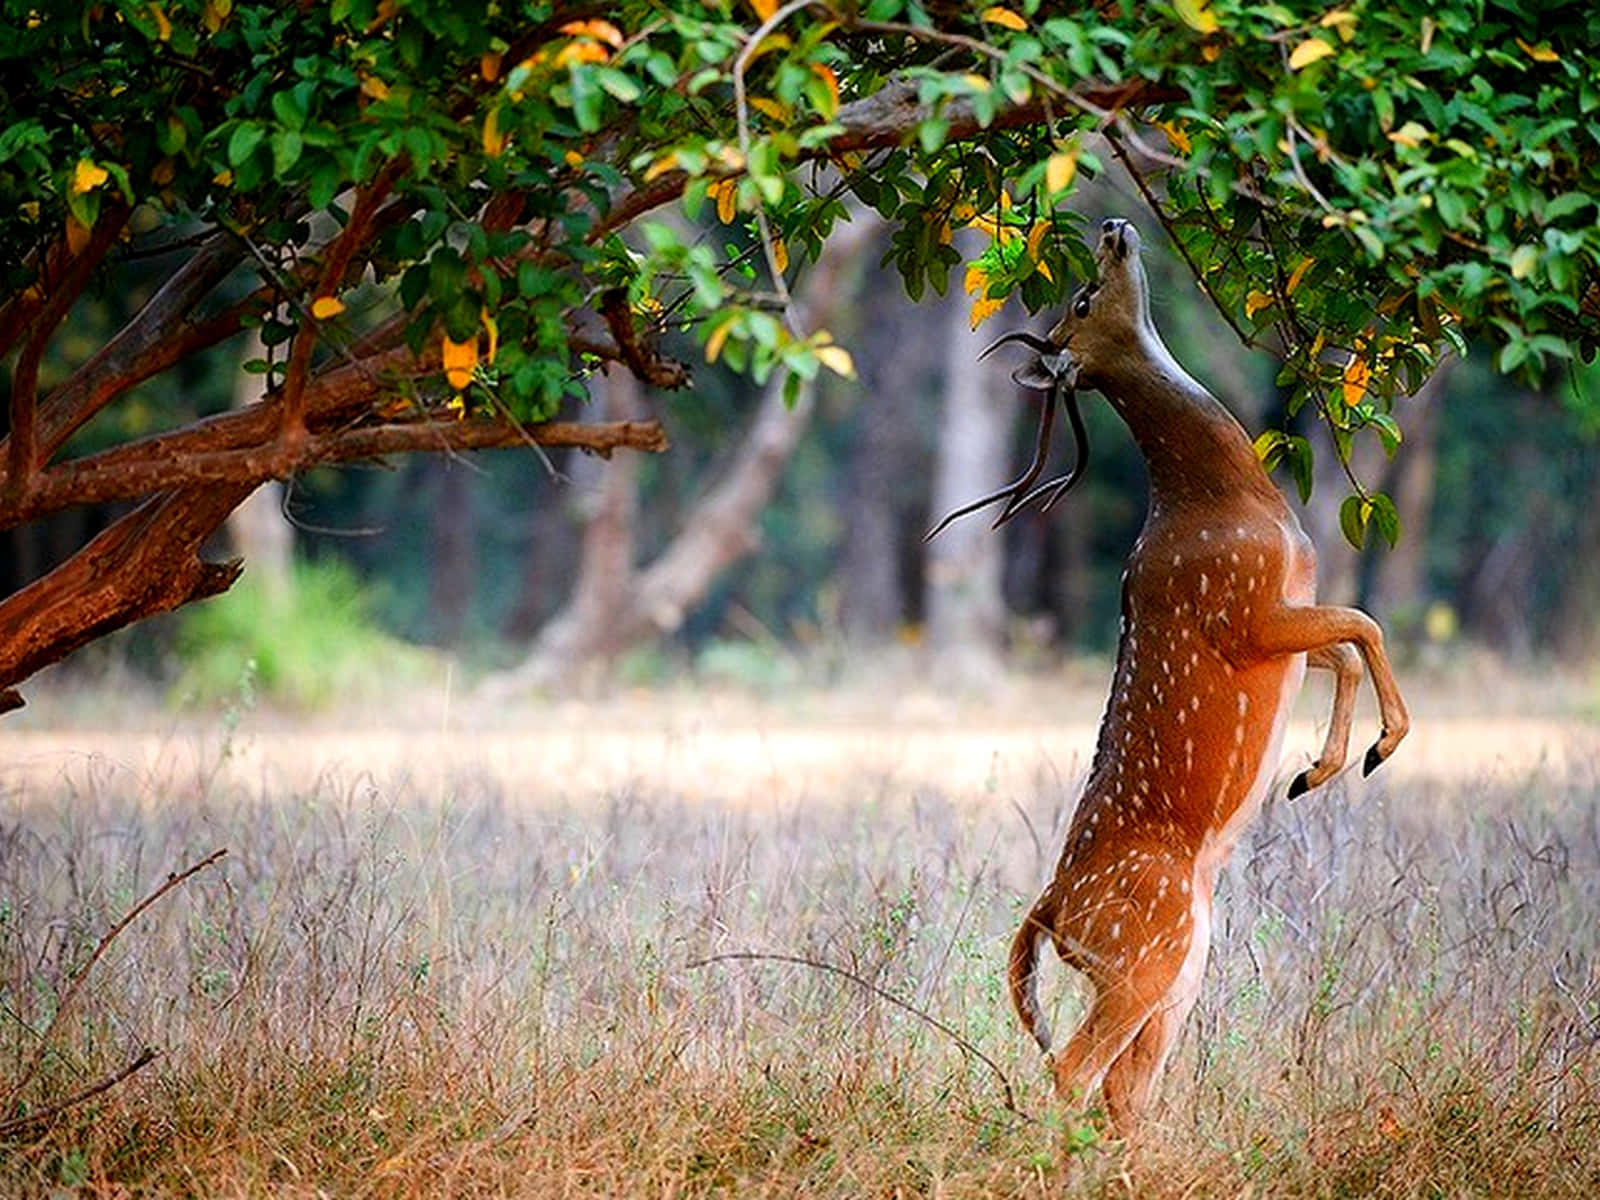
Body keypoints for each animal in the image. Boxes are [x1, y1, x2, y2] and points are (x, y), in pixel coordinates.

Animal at [933, 217, 1409, 1139]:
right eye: (1084, 297)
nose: (1114, 228)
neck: (1230, 503)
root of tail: (1051, 910)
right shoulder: (1243, 610)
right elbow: (1364, 622)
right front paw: (1375, 750)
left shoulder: (1286, 613)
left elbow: (1344, 643)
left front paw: (1318, 768)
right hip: (1141, 954)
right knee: (1073, 1069)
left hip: (1179, 968)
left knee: (1125, 1086)